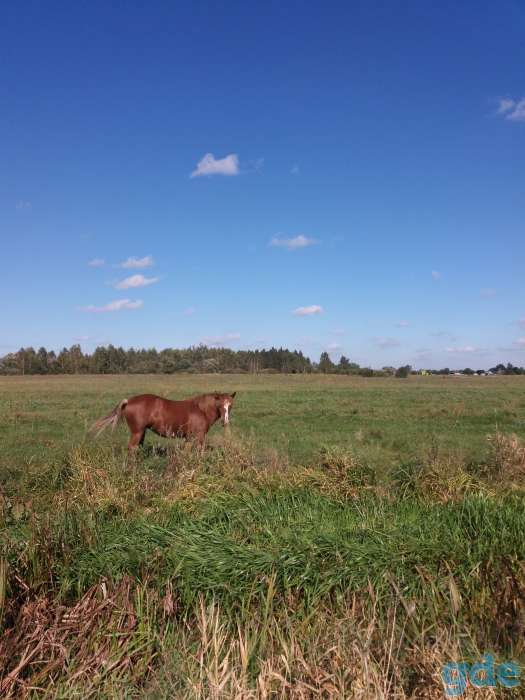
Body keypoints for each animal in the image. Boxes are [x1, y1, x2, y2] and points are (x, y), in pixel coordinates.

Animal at [90, 392, 236, 451]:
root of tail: (128, 401)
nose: (225, 422)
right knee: (132, 448)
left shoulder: (188, 438)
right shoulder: (199, 436)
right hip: (137, 432)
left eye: (230, 405)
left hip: (141, 432)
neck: (200, 409)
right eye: (220, 405)